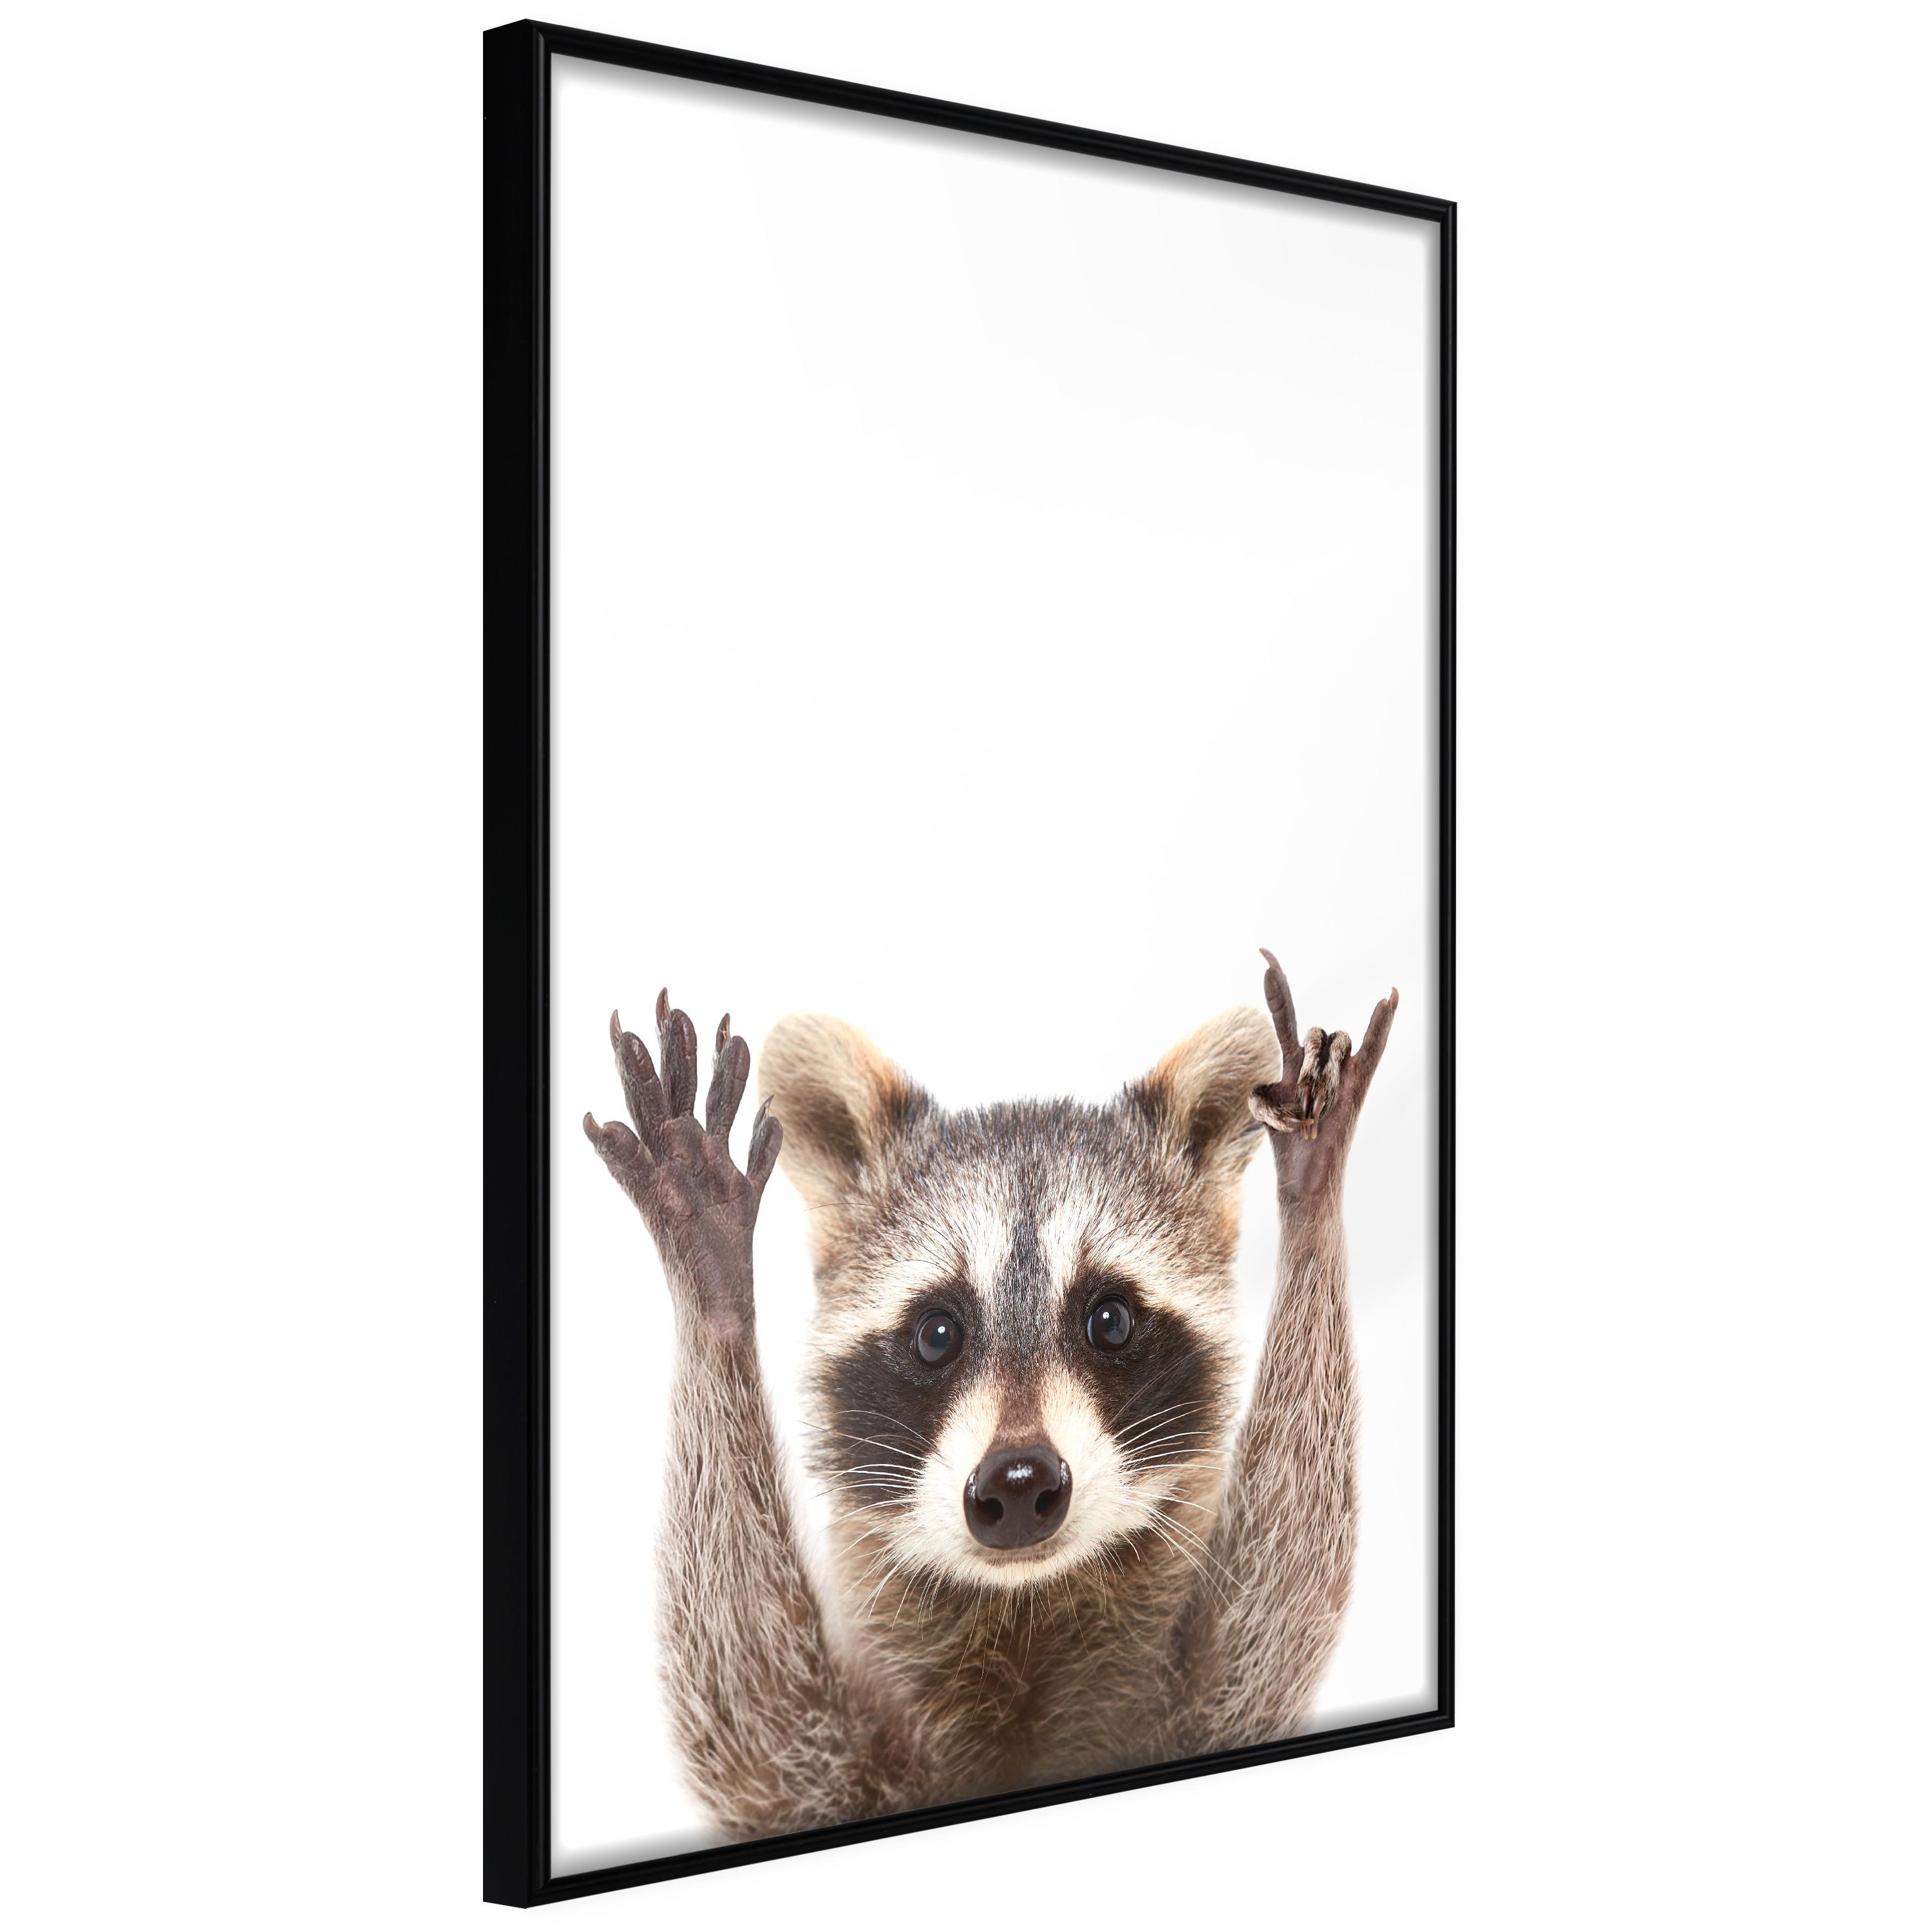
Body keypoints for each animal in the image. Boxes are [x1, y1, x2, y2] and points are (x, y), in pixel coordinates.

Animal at [583, 949, 1396, 1840]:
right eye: (938, 1333)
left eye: (1109, 1320)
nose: (1018, 1482)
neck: (1024, 1612)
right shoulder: (827, 1764)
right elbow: (754, 1725)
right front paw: (712, 1280)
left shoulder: (1198, 1706)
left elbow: (1274, 1619)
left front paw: (1313, 1192)